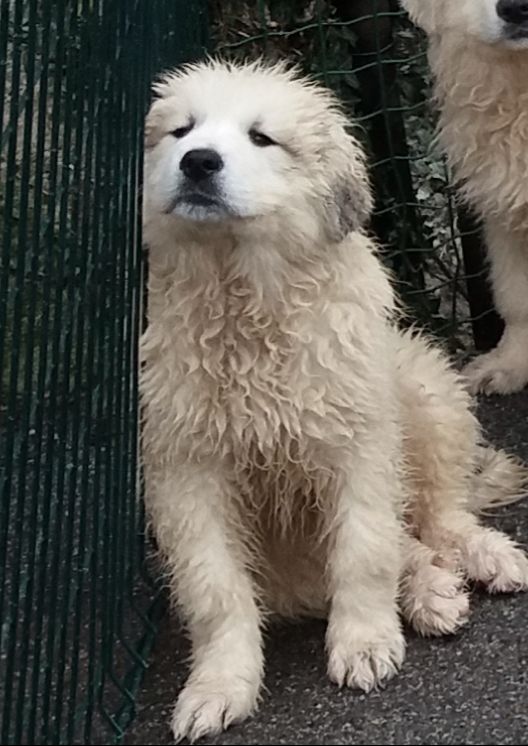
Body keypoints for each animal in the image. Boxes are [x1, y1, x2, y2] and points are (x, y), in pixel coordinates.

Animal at [140, 61, 528, 740]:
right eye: (180, 131)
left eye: (261, 138)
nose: (198, 162)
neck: (245, 299)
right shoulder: (187, 471)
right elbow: (215, 590)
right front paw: (218, 687)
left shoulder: (358, 443)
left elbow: (365, 550)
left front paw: (364, 643)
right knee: (413, 545)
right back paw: (433, 594)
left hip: (422, 388)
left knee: (439, 518)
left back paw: (484, 560)